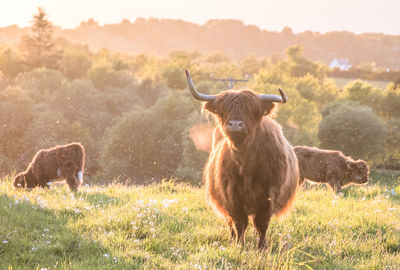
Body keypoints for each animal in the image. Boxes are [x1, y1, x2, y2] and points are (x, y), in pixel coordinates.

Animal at [186, 69, 298, 249]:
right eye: (223, 110)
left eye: (251, 110)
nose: (235, 124)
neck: (246, 161)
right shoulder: (231, 195)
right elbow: (240, 222)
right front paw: (240, 245)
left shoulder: (269, 194)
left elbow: (261, 223)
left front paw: (262, 246)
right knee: (231, 222)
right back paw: (232, 239)